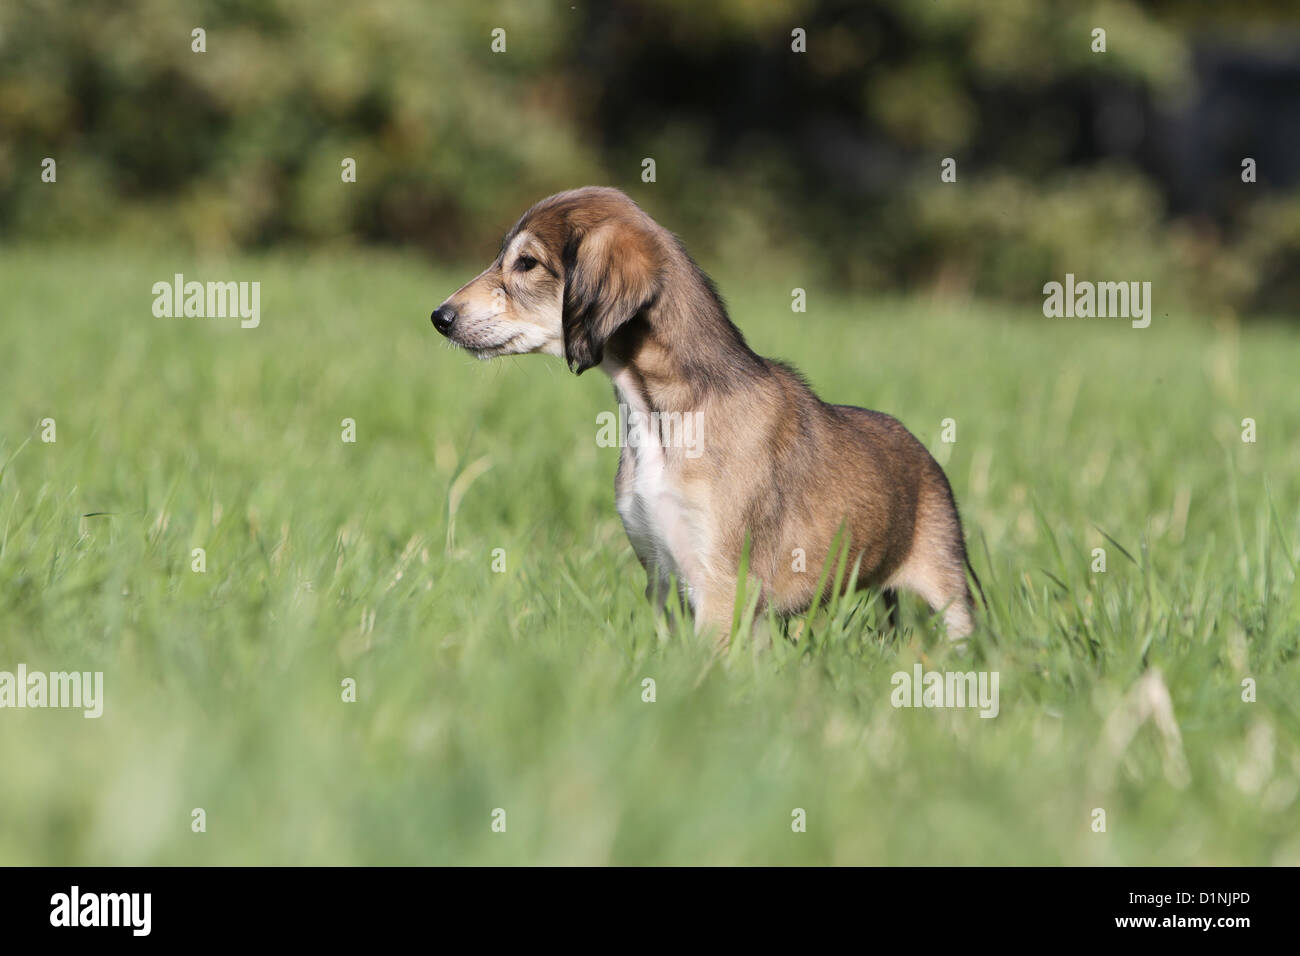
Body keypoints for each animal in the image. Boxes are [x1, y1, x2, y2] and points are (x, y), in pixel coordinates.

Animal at [431, 185, 977, 639]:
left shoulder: (720, 583)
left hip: (948, 585)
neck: (662, 417)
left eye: (526, 263)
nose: (440, 317)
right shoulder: (661, 573)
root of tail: (923, 452)